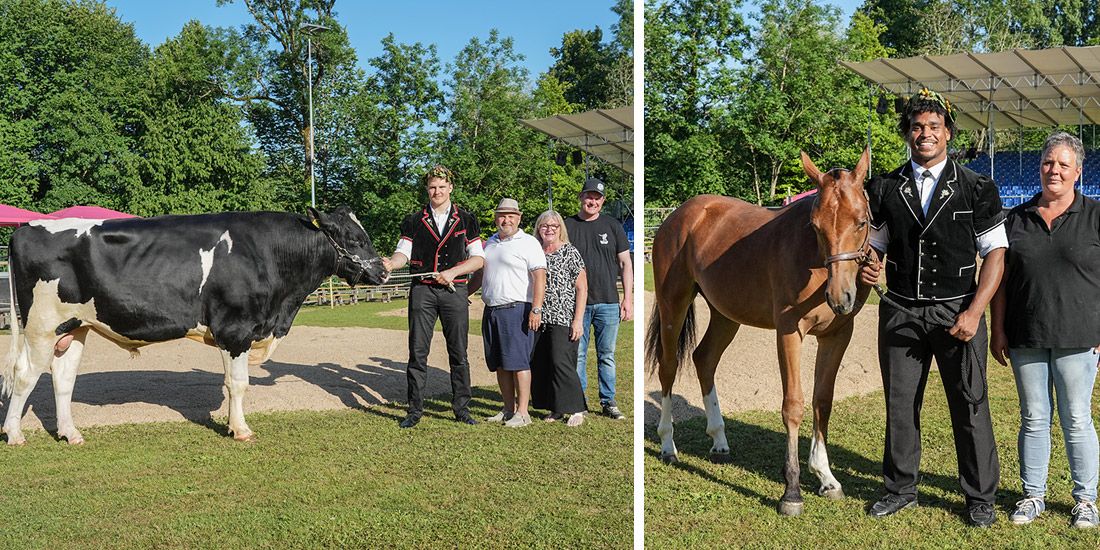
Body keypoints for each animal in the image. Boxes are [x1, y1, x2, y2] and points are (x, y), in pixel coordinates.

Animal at [2, 206, 387, 445]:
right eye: (355, 239)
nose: (383, 271)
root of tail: (26, 230)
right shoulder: (235, 329)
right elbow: (238, 384)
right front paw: (240, 430)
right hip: (41, 326)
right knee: (25, 375)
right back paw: (15, 434)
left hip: (74, 325)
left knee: (63, 379)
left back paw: (71, 434)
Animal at [645, 148, 872, 516]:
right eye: (815, 225)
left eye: (861, 221)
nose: (840, 297)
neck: (813, 261)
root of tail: (678, 216)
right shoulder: (789, 333)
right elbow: (793, 405)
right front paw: (792, 491)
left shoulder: (838, 335)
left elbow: (822, 401)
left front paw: (826, 477)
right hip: (672, 304)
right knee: (668, 368)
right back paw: (668, 444)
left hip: (726, 314)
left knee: (704, 359)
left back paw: (719, 439)